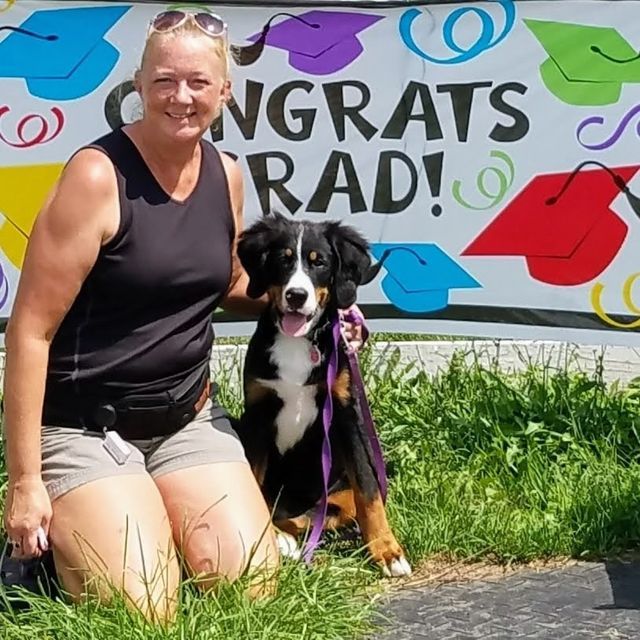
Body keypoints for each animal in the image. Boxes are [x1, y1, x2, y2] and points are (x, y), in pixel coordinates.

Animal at [235, 212, 411, 578]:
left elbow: (368, 492)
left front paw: (387, 550)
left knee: (326, 513)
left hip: (338, 488)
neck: (299, 343)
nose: (296, 296)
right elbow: (255, 488)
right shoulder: (258, 415)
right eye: (283, 259)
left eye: (319, 263)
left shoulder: (345, 413)